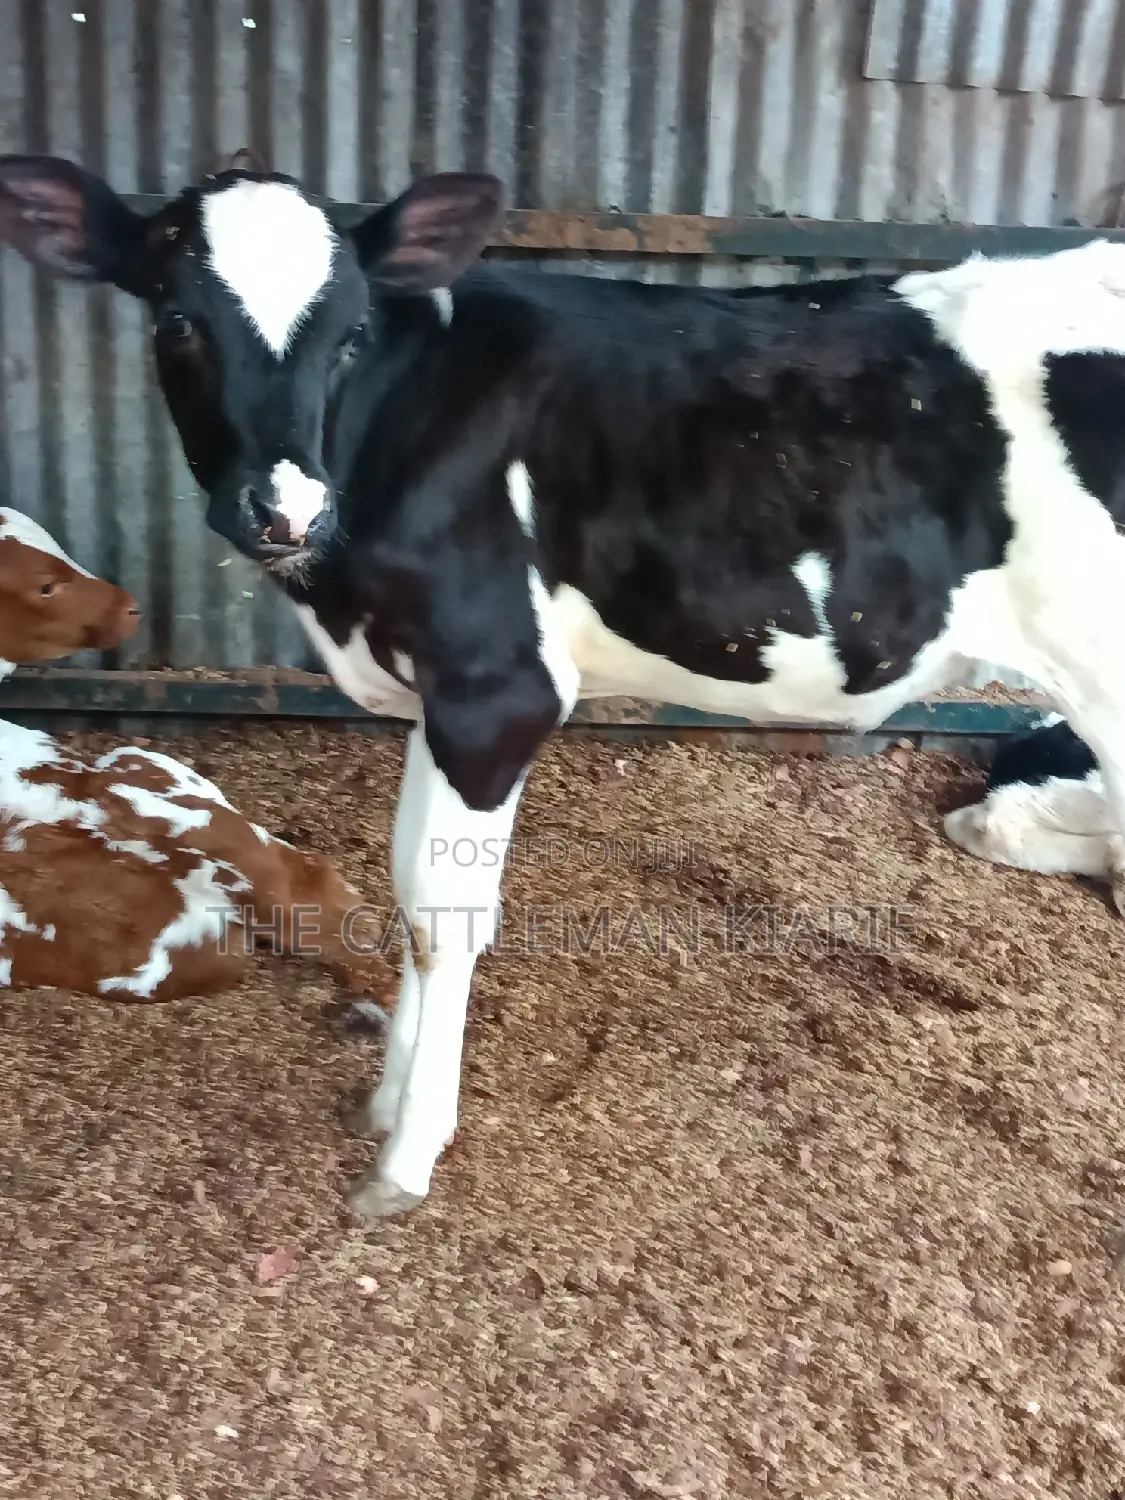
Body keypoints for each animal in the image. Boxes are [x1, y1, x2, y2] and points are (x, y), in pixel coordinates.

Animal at [3, 153, 1125, 1218]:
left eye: (351, 332)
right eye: (178, 319)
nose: (284, 508)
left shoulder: (499, 687)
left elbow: (445, 918)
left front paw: (409, 1152)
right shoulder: (434, 694)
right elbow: (409, 885)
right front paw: (390, 1098)